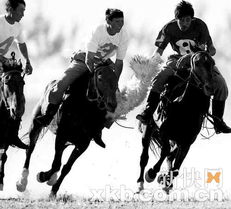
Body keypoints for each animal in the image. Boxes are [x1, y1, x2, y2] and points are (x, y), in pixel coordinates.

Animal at [16, 62, 117, 197]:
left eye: (115, 79)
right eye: (100, 79)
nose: (112, 104)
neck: (83, 109)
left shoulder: (83, 144)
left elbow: (66, 168)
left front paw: (53, 191)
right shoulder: (61, 136)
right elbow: (56, 164)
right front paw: (42, 176)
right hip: (35, 124)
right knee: (30, 150)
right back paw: (22, 182)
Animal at [137, 51, 215, 194]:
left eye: (213, 63)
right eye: (196, 63)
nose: (209, 87)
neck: (185, 108)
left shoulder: (186, 143)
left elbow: (176, 166)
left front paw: (166, 180)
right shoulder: (164, 132)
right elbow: (165, 151)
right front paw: (152, 173)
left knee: (170, 157)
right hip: (148, 129)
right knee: (144, 157)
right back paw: (140, 183)